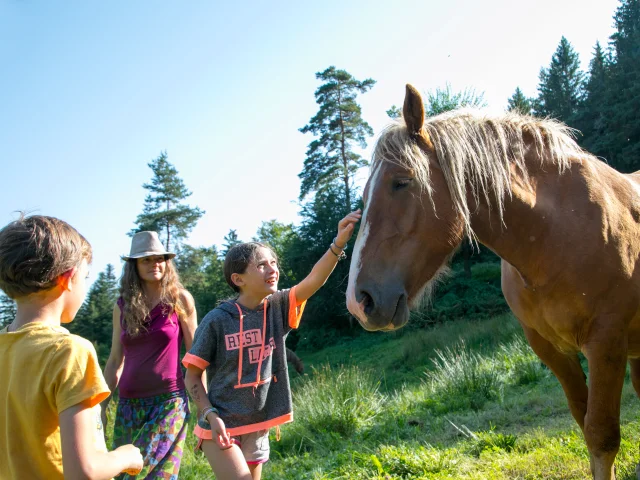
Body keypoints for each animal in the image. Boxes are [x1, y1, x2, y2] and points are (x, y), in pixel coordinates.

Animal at [346, 84, 640, 480]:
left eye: (402, 182)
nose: (358, 301)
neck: (555, 235)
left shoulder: (606, 344)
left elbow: (601, 435)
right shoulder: (550, 349)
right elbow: (583, 422)